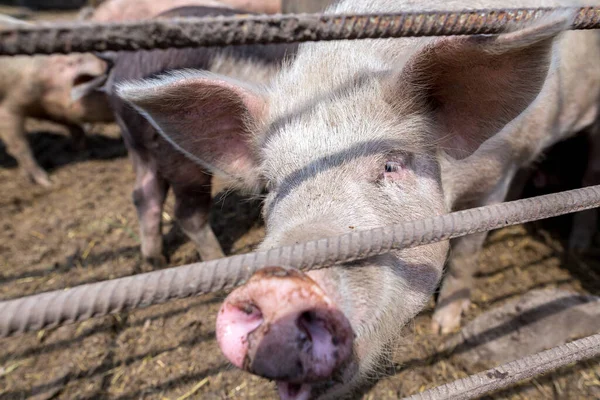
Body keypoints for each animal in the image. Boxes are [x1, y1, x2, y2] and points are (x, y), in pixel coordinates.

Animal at [91, 5, 296, 266]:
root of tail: (124, 64)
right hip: (179, 155)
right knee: (186, 213)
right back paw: (216, 258)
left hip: (136, 144)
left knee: (144, 194)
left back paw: (156, 260)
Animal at [118, 1, 600, 398]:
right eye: (271, 183)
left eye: (391, 165)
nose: (277, 287)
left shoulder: (498, 171)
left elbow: (467, 249)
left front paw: (445, 327)